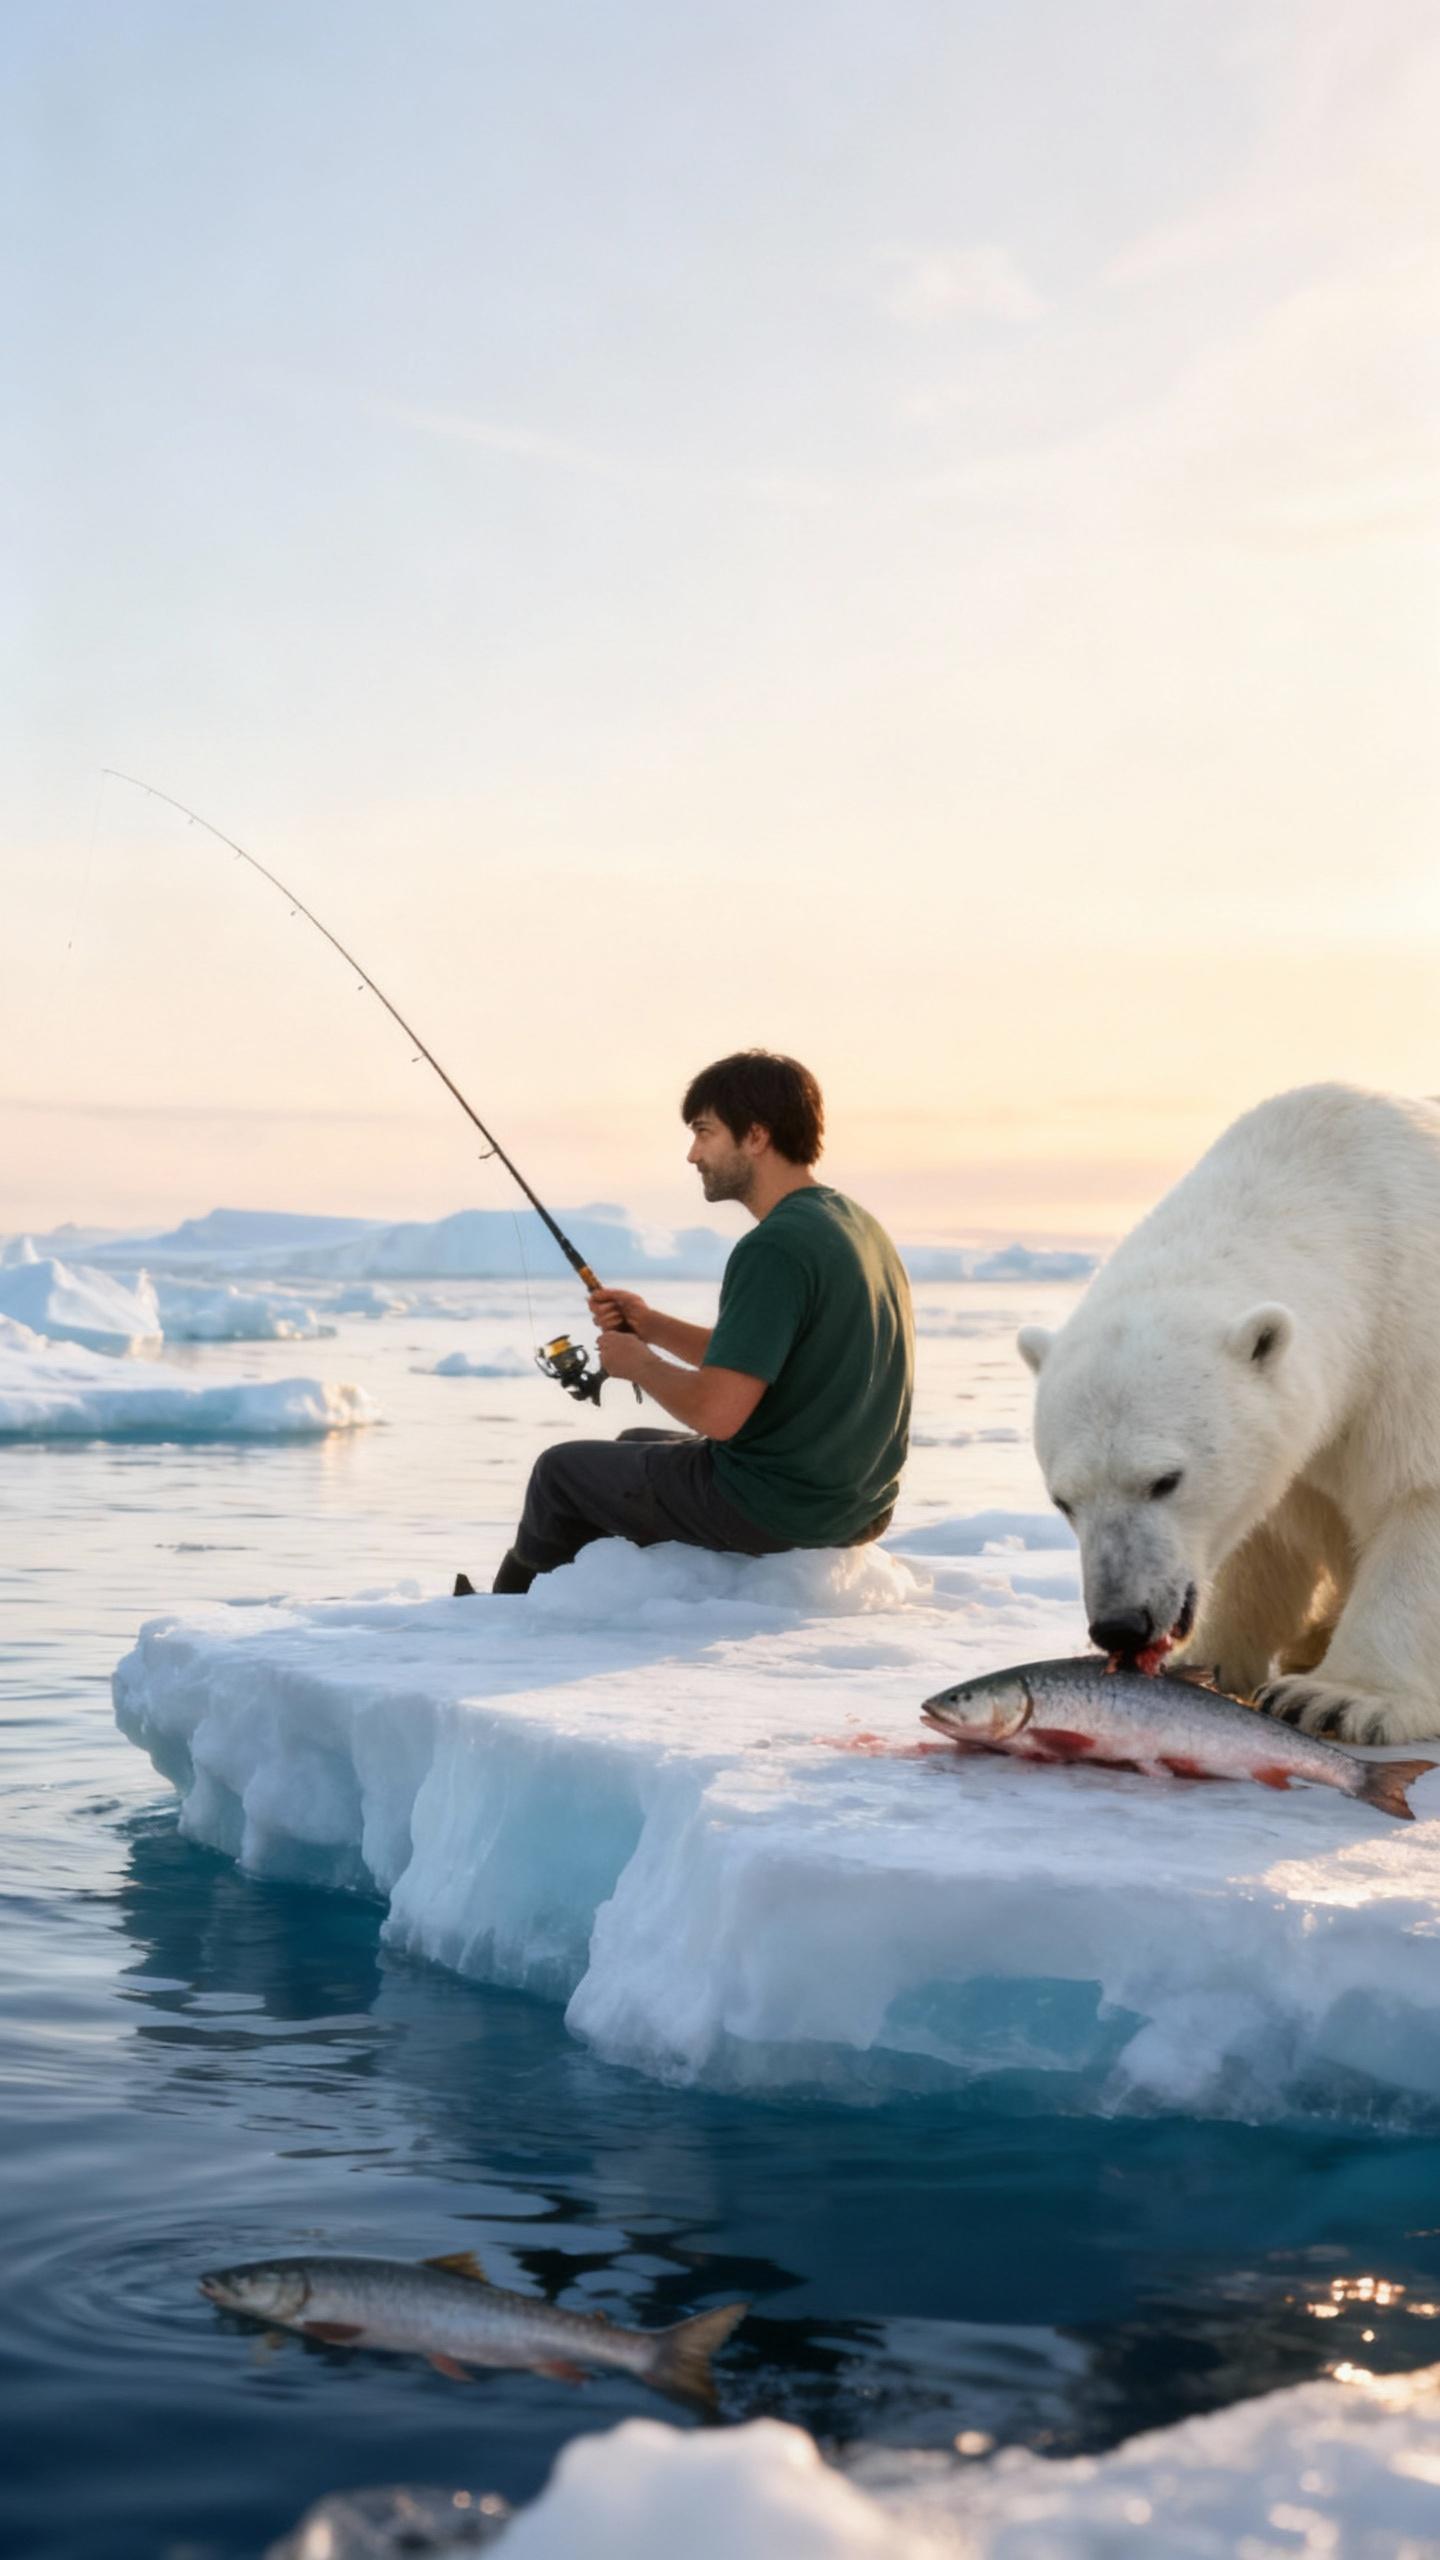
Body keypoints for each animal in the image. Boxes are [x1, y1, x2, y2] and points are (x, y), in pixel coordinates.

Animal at [1016, 1084, 1440, 1747]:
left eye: (1165, 1480)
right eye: (1064, 1500)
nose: (1120, 1624)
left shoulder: (1411, 1353)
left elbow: (1417, 1501)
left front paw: (1336, 1699)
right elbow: (1261, 1542)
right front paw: (1209, 1663)